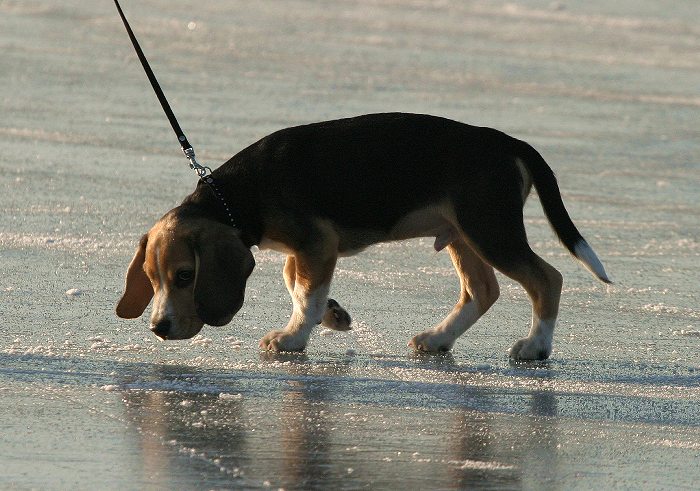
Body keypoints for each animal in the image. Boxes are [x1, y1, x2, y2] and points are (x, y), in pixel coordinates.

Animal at [115, 114, 608, 362]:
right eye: (152, 279)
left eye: (185, 276)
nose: (159, 329)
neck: (234, 195)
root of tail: (509, 142)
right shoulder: (307, 249)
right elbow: (297, 283)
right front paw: (332, 316)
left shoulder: (317, 243)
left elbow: (305, 292)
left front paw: (293, 338)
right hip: (463, 236)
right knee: (482, 291)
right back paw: (438, 339)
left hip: (490, 229)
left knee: (547, 279)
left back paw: (536, 347)